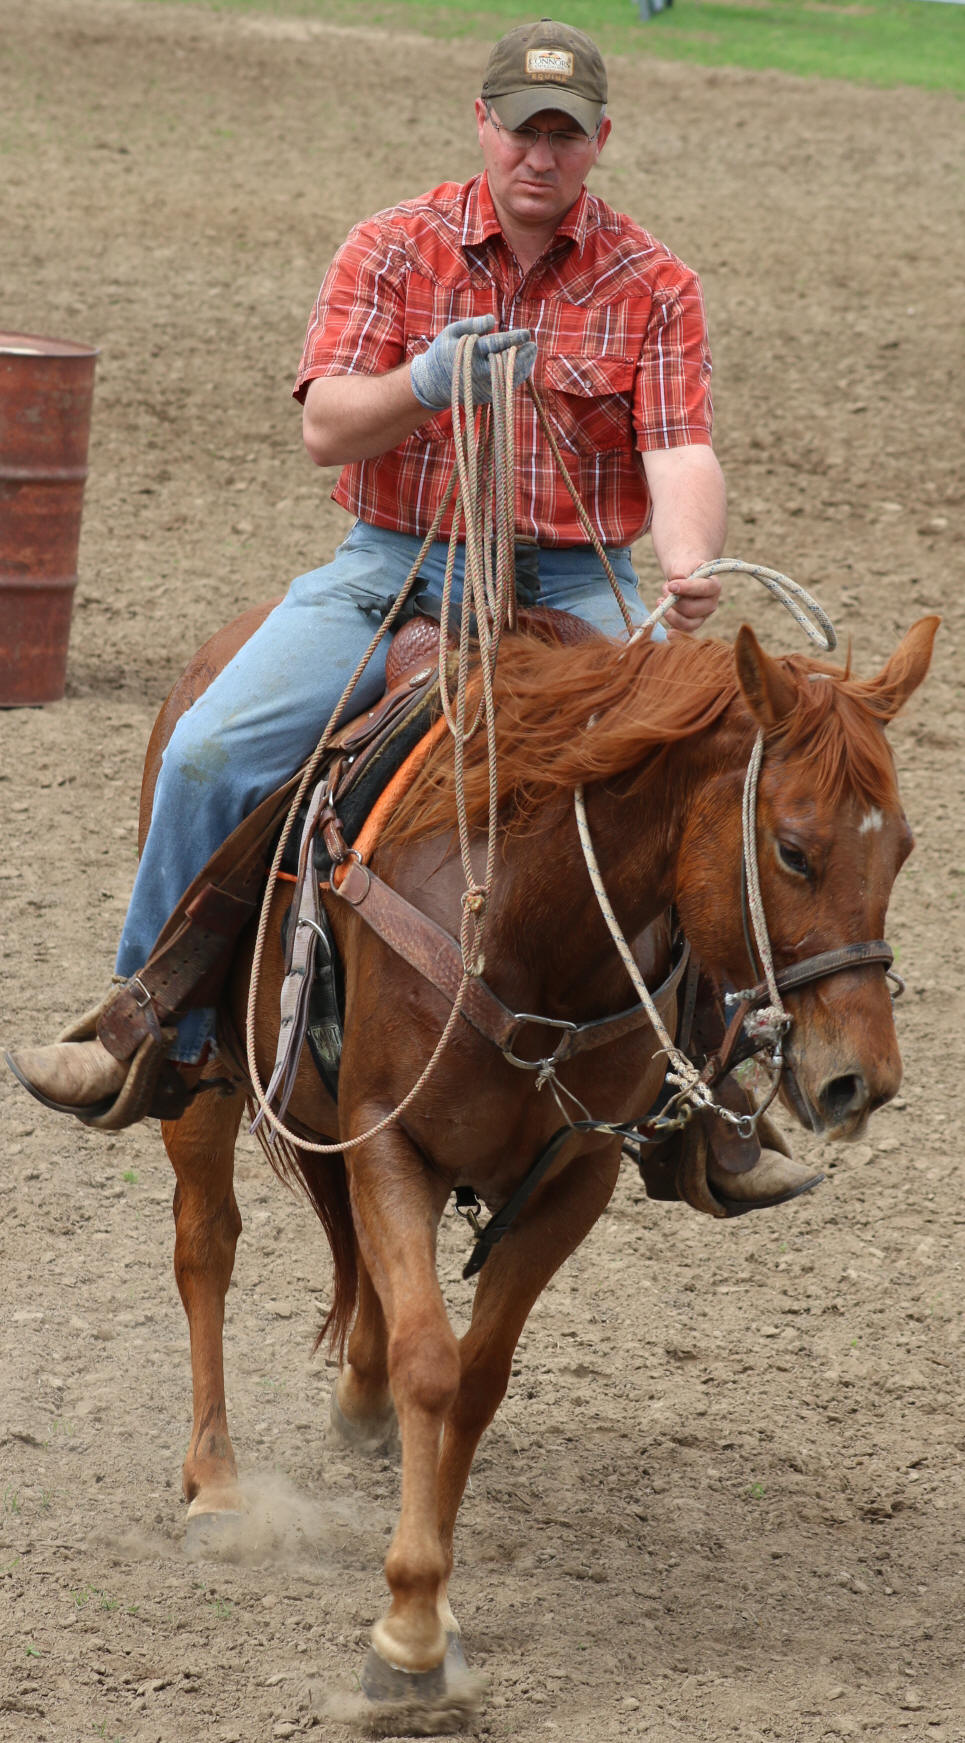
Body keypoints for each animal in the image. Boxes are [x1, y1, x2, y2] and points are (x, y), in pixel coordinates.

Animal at [148, 607, 937, 1723]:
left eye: (902, 847)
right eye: (791, 849)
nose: (859, 1081)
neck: (527, 923)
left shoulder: (573, 1181)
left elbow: (476, 1377)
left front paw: (427, 1605)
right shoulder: (387, 1136)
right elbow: (431, 1361)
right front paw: (406, 1636)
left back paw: (358, 1409)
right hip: (208, 1076)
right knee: (207, 1248)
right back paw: (216, 1485)